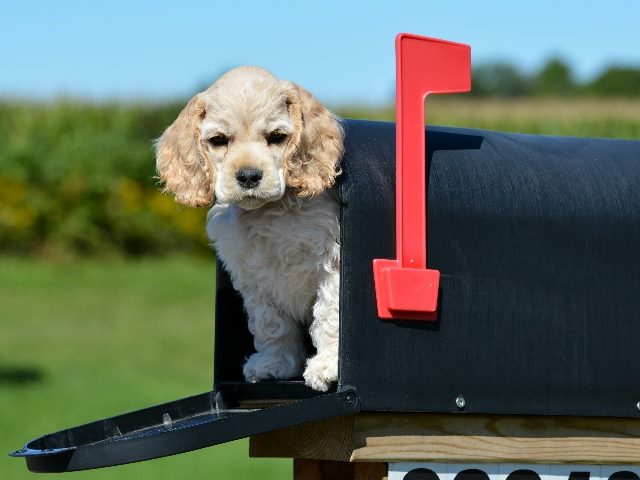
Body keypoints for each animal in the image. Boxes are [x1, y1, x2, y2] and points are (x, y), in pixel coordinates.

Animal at [156, 66, 344, 390]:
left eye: (277, 137)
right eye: (218, 140)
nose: (248, 176)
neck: (269, 213)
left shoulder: (331, 262)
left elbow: (330, 313)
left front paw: (328, 365)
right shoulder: (254, 279)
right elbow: (271, 324)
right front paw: (275, 364)